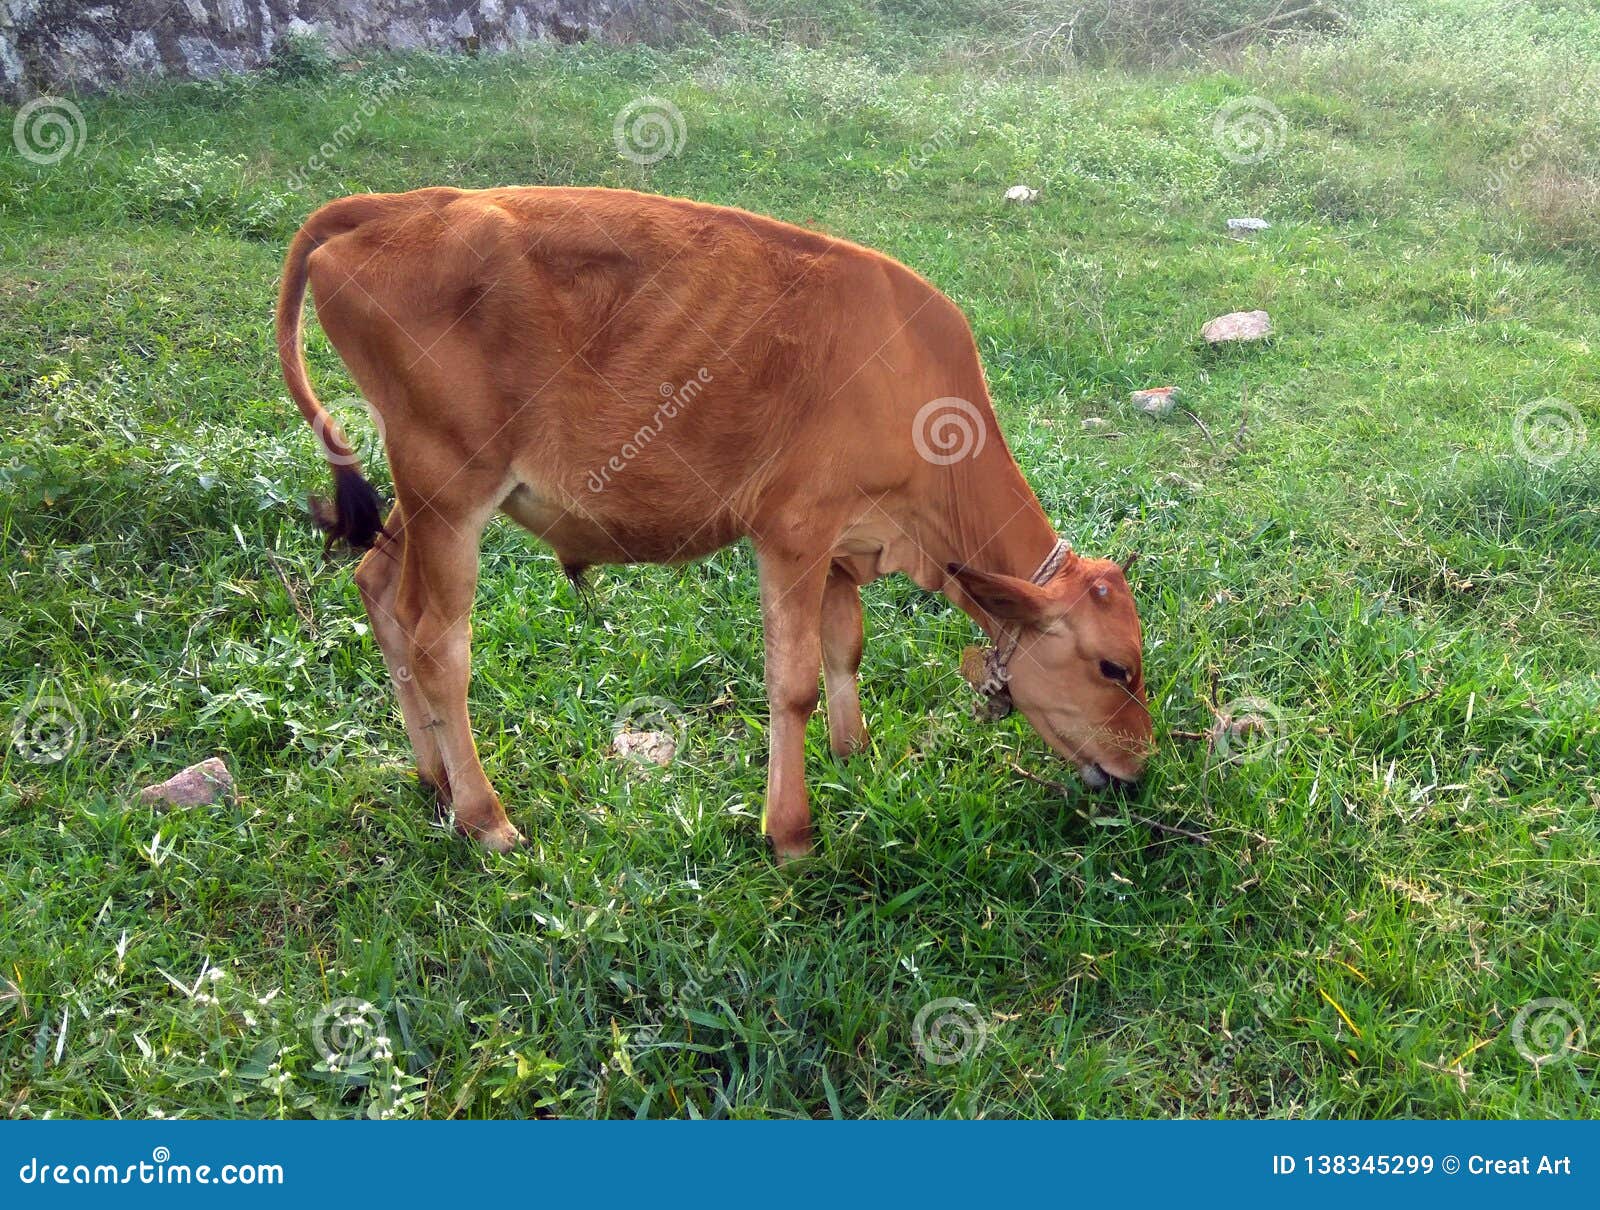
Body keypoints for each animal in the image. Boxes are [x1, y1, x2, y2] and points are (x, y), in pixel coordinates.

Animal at [275, 186, 1152, 857]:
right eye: (1115, 668)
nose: (1139, 768)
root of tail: (387, 206)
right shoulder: (793, 530)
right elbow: (792, 684)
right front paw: (792, 832)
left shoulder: (844, 541)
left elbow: (846, 647)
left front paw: (854, 754)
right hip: (450, 488)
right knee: (436, 644)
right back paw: (486, 817)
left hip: (419, 496)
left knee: (379, 587)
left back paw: (434, 779)